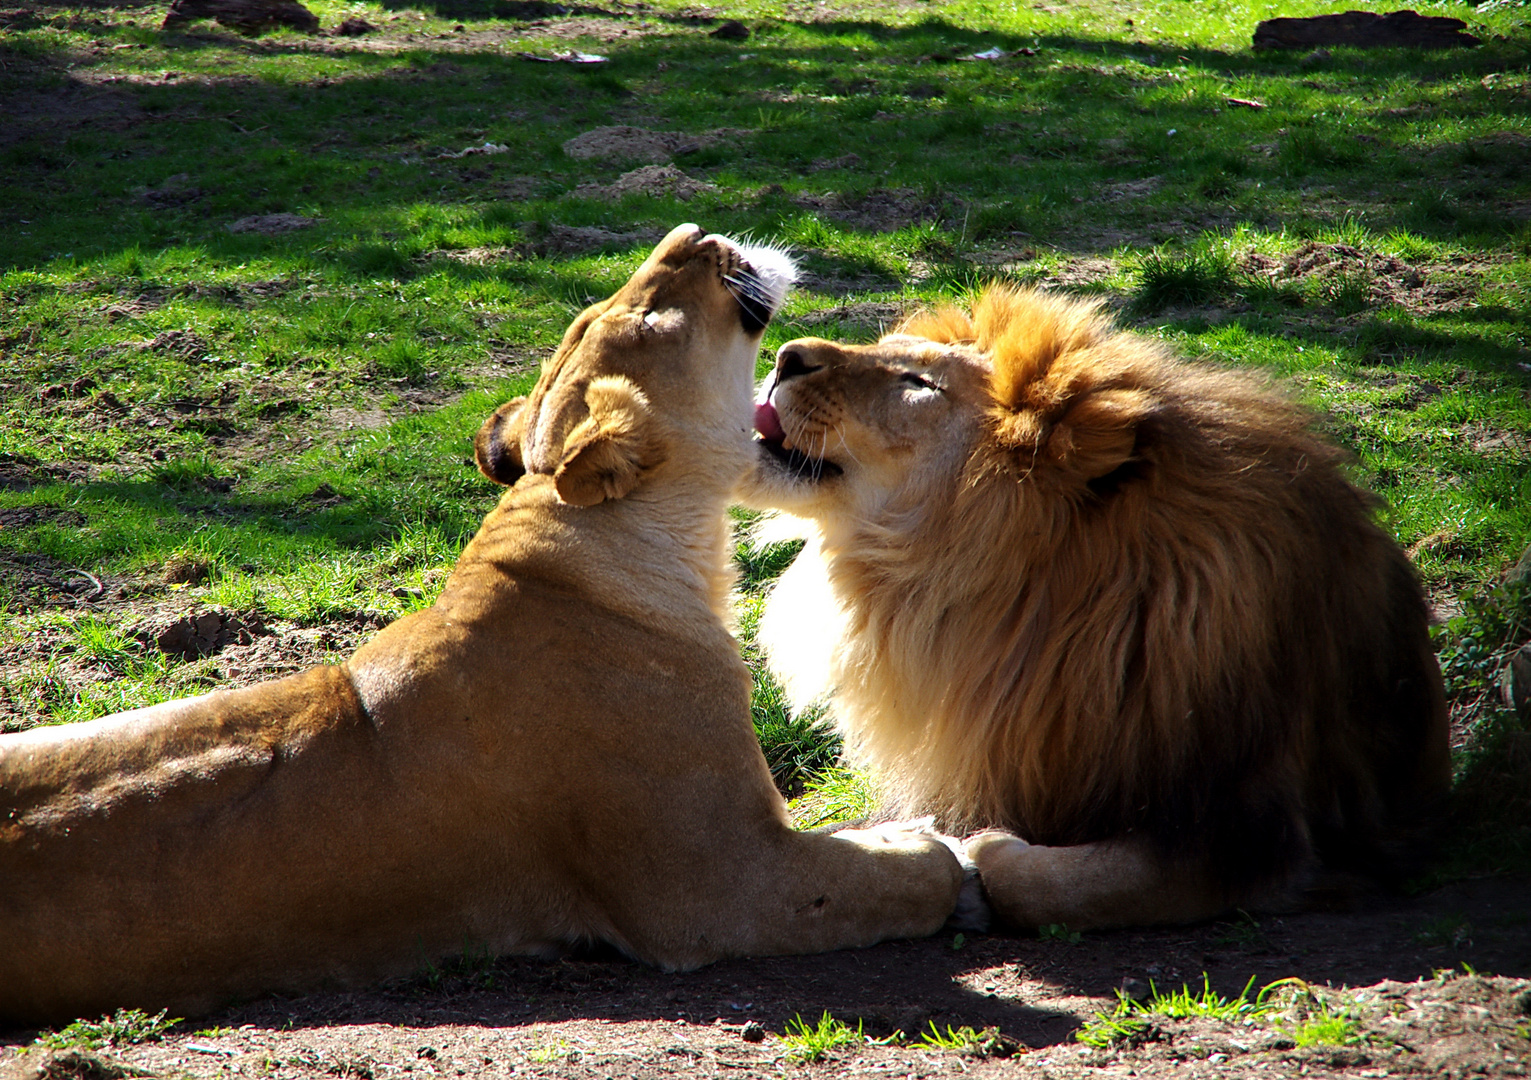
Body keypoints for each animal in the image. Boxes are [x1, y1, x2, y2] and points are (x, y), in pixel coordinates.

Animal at [0, 223, 961, 1023]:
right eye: (651, 316)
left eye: (601, 313)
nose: (696, 232)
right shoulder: (717, 886)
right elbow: (894, 879)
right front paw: (935, 850)